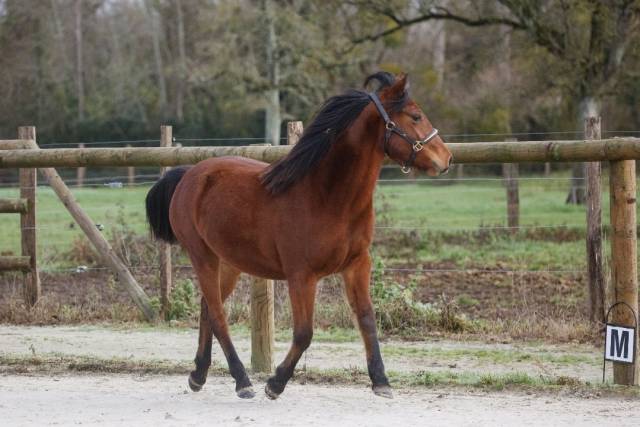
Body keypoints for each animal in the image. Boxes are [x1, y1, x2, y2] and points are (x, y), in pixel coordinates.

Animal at [145, 72, 452, 400]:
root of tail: (188, 175)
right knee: (217, 315)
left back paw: (198, 375)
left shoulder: (357, 265)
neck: (328, 196)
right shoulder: (302, 276)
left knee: (206, 309)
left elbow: (367, 319)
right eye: (415, 116)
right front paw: (275, 383)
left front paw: (381, 381)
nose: (446, 159)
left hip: (228, 262)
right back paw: (242, 381)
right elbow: (305, 333)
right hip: (202, 256)